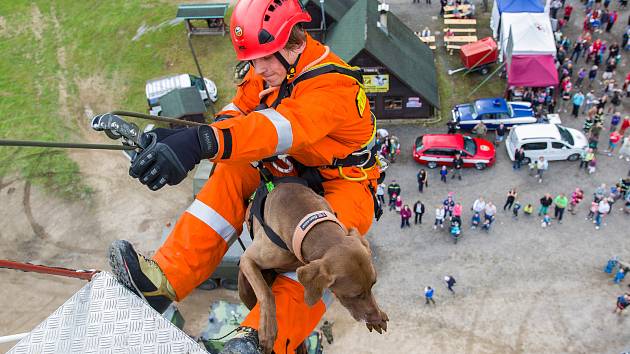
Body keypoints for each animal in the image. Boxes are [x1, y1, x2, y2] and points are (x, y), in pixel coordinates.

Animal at [239, 181, 390, 352]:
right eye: (354, 295)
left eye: (373, 285)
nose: (376, 317)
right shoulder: (247, 259)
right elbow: (267, 293)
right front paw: (268, 330)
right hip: (243, 287)